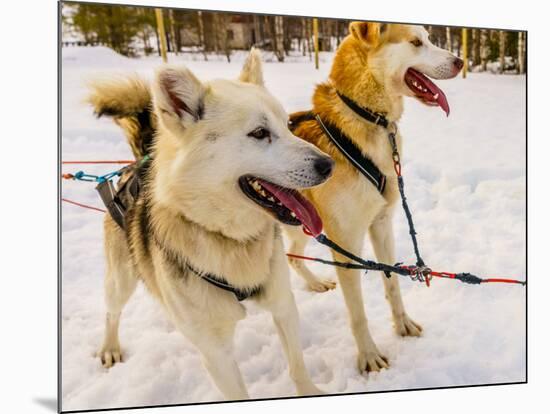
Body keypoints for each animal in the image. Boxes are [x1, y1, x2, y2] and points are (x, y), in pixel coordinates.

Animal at [286, 21, 464, 374]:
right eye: (416, 42)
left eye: (429, 38)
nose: (460, 61)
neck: (367, 116)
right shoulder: (346, 243)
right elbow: (358, 314)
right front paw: (368, 355)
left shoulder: (381, 224)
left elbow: (392, 283)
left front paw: (402, 325)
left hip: (304, 224)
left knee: (292, 256)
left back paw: (314, 284)